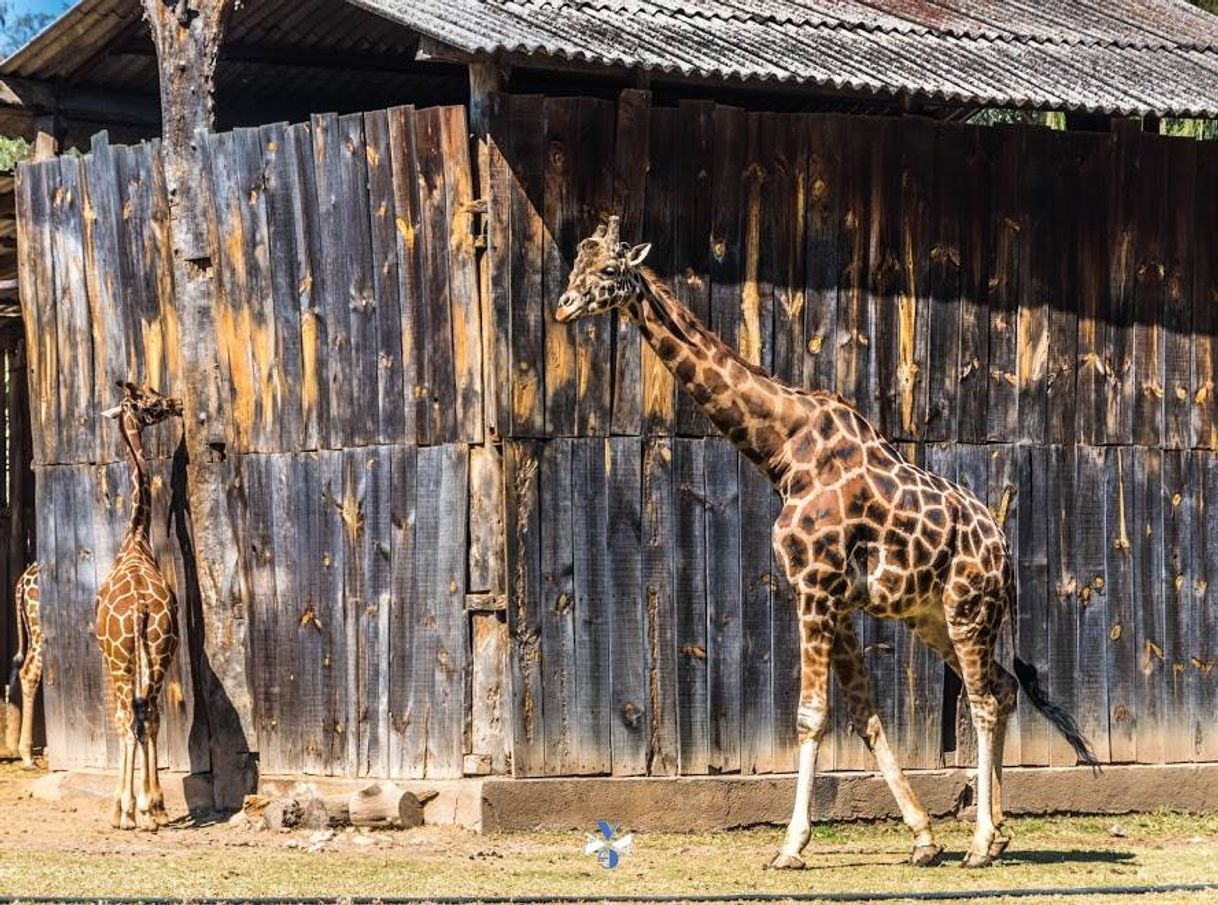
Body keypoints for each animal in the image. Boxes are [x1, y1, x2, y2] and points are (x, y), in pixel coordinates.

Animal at [557, 218, 1101, 872]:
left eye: (611, 270)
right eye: (575, 265)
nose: (563, 306)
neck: (782, 450)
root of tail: (1005, 553)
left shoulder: (814, 588)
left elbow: (811, 717)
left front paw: (791, 846)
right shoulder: (835, 599)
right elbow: (867, 717)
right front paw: (923, 838)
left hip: (969, 610)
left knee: (984, 701)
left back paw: (978, 845)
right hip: (934, 617)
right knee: (1002, 685)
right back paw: (997, 835)